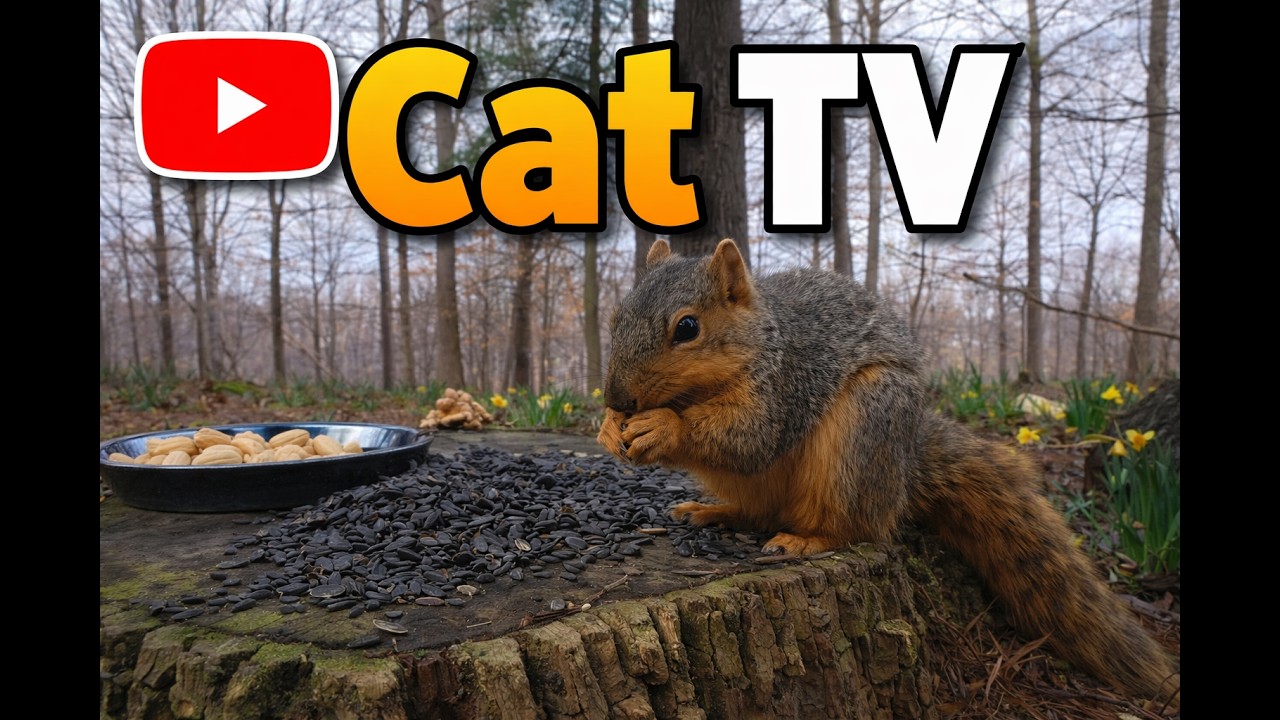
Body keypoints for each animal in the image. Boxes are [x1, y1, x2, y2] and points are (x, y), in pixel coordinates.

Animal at [597, 238, 1179, 700]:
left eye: (687, 327)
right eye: (616, 317)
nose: (617, 398)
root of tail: (903, 475)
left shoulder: (782, 386)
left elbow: (750, 437)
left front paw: (661, 427)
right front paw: (607, 428)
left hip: (866, 429)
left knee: (857, 527)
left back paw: (809, 539)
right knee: (758, 511)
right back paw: (713, 511)